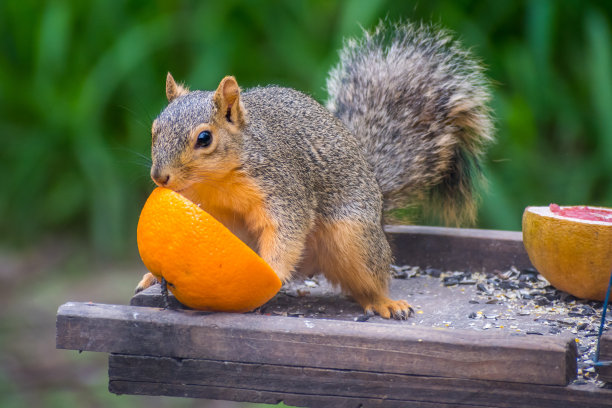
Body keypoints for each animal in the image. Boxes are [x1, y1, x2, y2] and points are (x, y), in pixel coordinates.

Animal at [135, 20, 492, 320]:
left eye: (204, 138)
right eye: (154, 129)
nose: (159, 177)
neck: (217, 181)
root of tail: (378, 198)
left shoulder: (282, 187)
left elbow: (287, 230)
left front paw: (272, 272)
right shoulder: (204, 205)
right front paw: (154, 274)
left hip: (355, 236)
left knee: (369, 280)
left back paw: (384, 302)